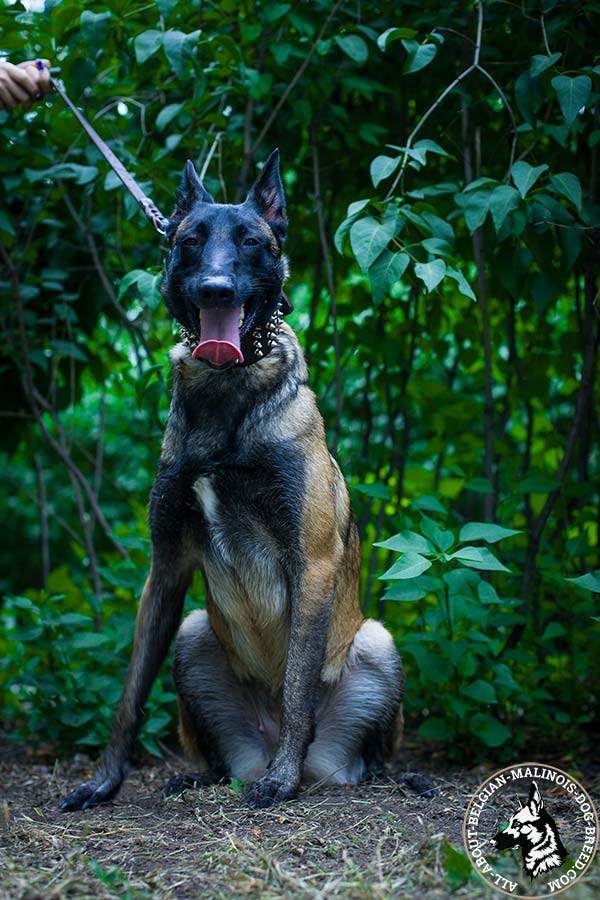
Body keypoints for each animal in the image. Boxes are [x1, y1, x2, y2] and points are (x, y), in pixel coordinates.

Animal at [61, 151, 406, 812]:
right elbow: (128, 697)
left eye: (250, 241)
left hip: (375, 641)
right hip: (194, 632)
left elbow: (297, 687)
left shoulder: (311, 562)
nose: (215, 289)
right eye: (190, 241)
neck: (227, 396)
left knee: (359, 748)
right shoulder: (166, 568)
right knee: (216, 755)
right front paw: (103, 781)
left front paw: (280, 783)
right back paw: (204, 775)